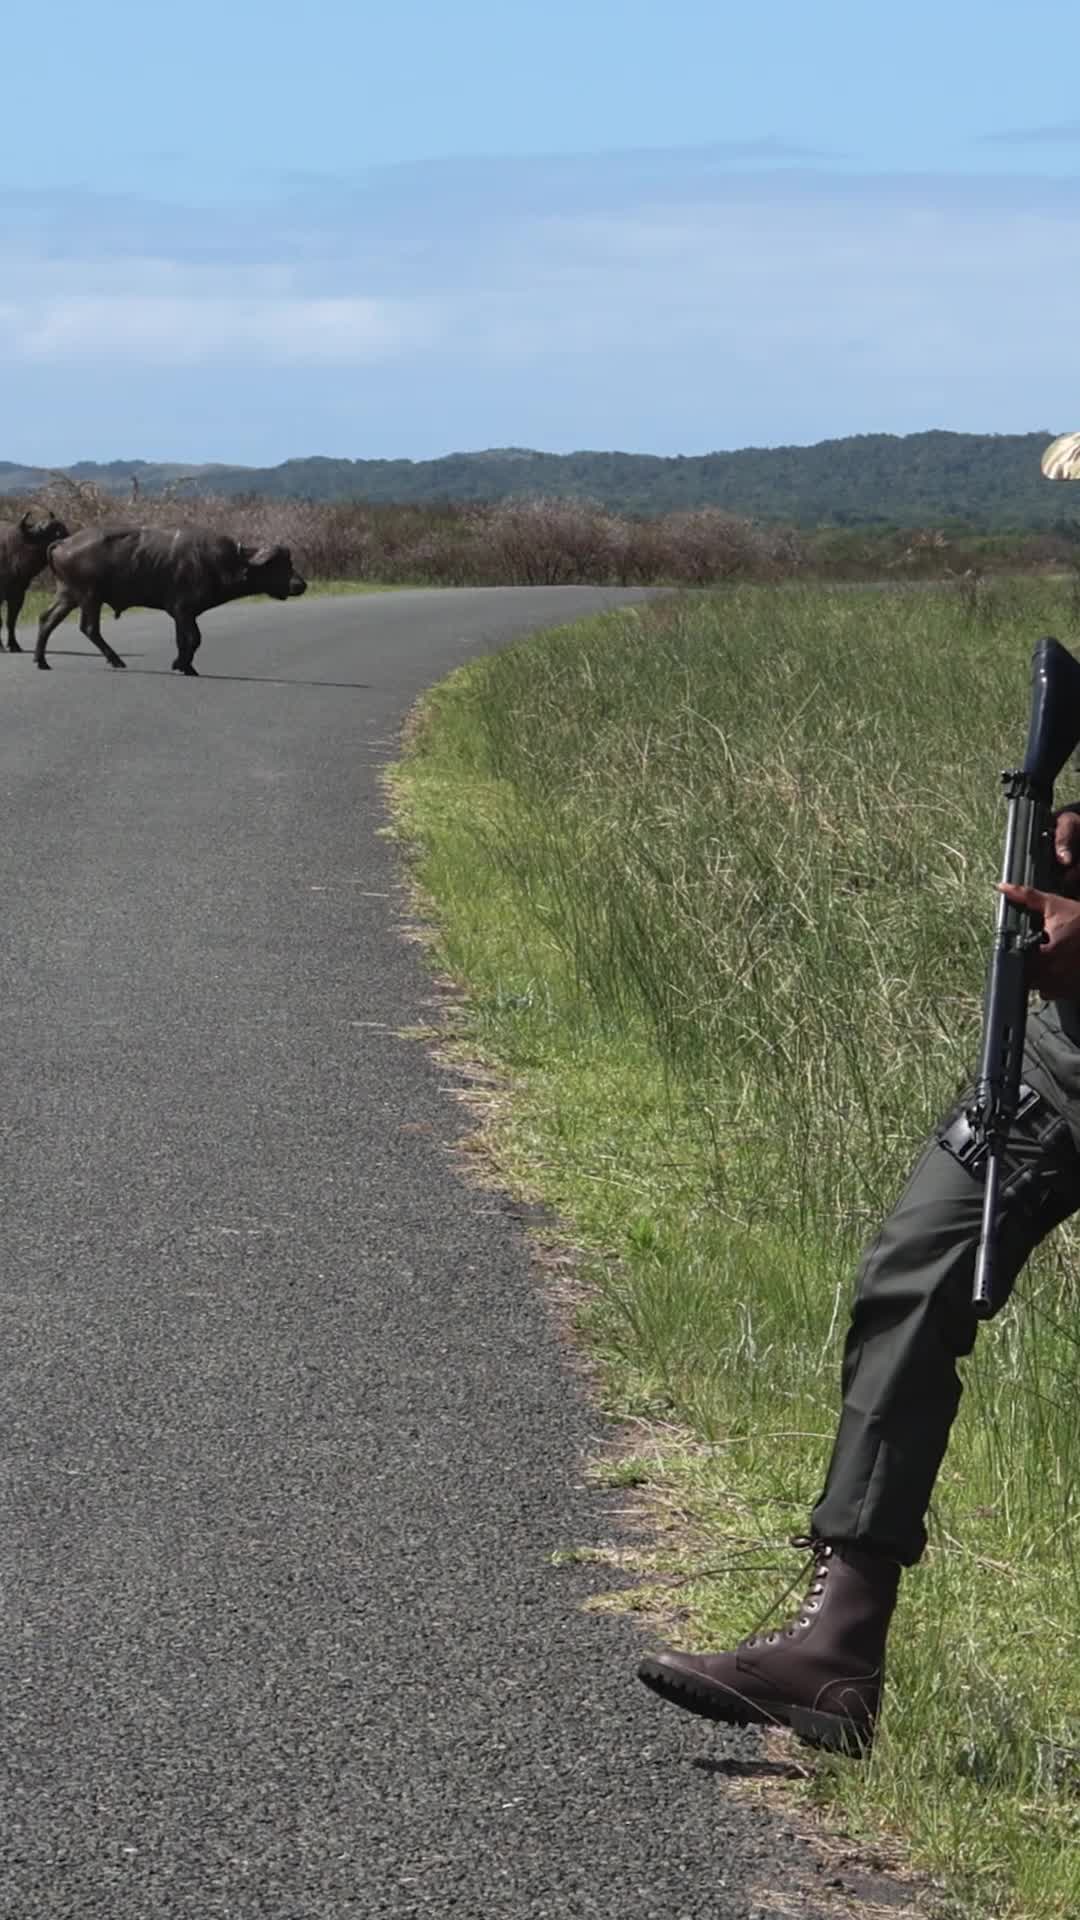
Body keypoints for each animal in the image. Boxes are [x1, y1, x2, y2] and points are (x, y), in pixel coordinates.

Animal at [36, 526, 307, 675]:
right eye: (277, 564)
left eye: (289, 561)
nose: (300, 585)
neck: (221, 562)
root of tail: (64, 542)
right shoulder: (182, 610)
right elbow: (193, 639)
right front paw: (182, 665)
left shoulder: (182, 614)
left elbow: (186, 640)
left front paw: (185, 665)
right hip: (89, 596)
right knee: (89, 627)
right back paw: (116, 660)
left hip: (68, 595)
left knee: (46, 620)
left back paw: (42, 661)